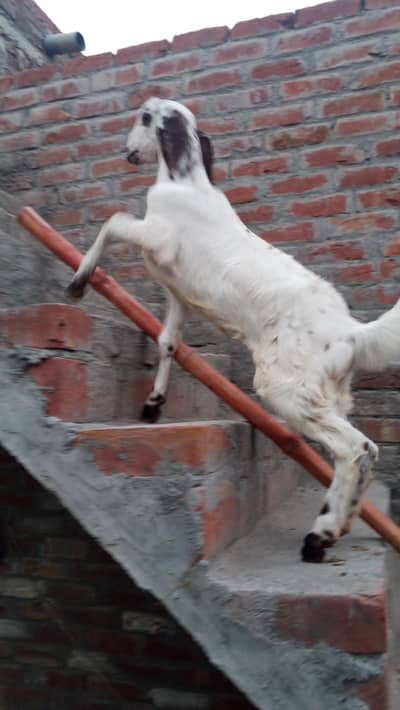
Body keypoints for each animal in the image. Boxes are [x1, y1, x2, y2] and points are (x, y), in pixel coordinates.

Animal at [66, 97, 400, 563]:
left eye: (143, 117)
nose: (126, 151)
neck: (185, 183)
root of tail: (351, 333)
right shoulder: (179, 294)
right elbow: (168, 342)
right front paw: (153, 404)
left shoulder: (158, 239)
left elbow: (113, 221)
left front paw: (78, 282)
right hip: (324, 395)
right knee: (348, 453)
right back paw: (331, 528)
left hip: (286, 389)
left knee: (359, 449)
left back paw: (320, 535)